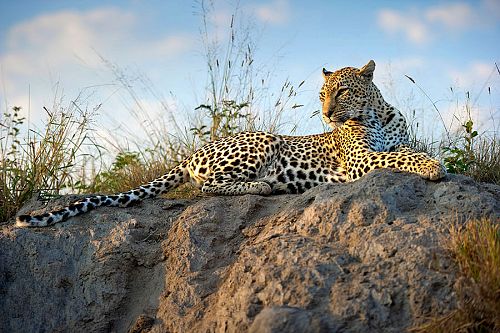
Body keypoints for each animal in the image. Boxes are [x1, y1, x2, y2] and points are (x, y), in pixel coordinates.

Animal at [14, 59, 446, 227]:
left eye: (340, 92)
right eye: (322, 94)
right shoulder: (359, 161)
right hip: (262, 139)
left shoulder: (387, 144)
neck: (376, 114)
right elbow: (399, 157)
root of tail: (194, 151)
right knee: (207, 186)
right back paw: (265, 185)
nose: (325, 113)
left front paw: (431, 160)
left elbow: (408, 149)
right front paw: (432, 167)